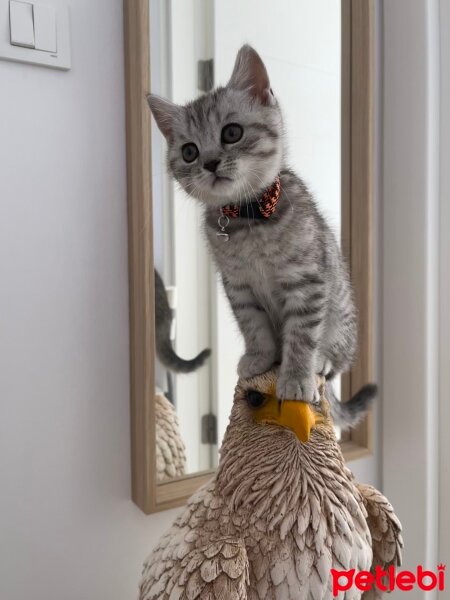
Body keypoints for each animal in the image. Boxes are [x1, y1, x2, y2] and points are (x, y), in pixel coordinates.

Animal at [149, 44, 374, 424]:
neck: (248, 221)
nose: (210, 163)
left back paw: (320, 362)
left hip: (342, 322)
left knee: (332, 364)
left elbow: (301, 334)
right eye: (189, 152)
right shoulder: (238, 286)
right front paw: (260, 358)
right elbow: (253, 326)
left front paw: (295, 377)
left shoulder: (307, 282)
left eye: (231, 133)